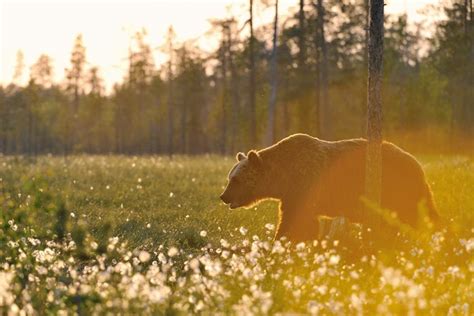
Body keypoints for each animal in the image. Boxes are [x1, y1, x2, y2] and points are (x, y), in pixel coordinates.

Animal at [220, 133, 438, 242]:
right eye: (229, 177)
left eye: (236, 179)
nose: (224, 196)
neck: (283, 178)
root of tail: (418, 164)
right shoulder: (292, 194)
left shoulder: (305, 184)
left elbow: (295, 221)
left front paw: (281, 242)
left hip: (397, 188)